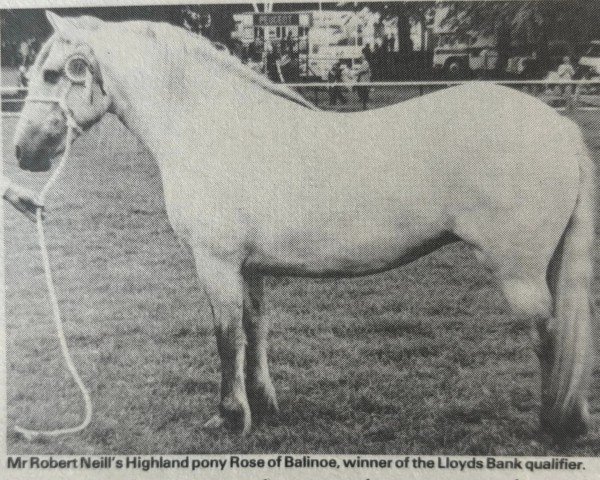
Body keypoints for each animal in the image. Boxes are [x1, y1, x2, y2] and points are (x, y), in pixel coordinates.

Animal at [14, 13, 596, 436]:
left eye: (52, 73)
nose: (24, 152)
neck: (213, 127)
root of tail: (560, 128)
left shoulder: (216, 263)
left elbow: (226, 336)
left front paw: (230, 417)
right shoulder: (250, 269)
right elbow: (255, 331)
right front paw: (265, 407)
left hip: (518, 272)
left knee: (548, 338)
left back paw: (554, 425)